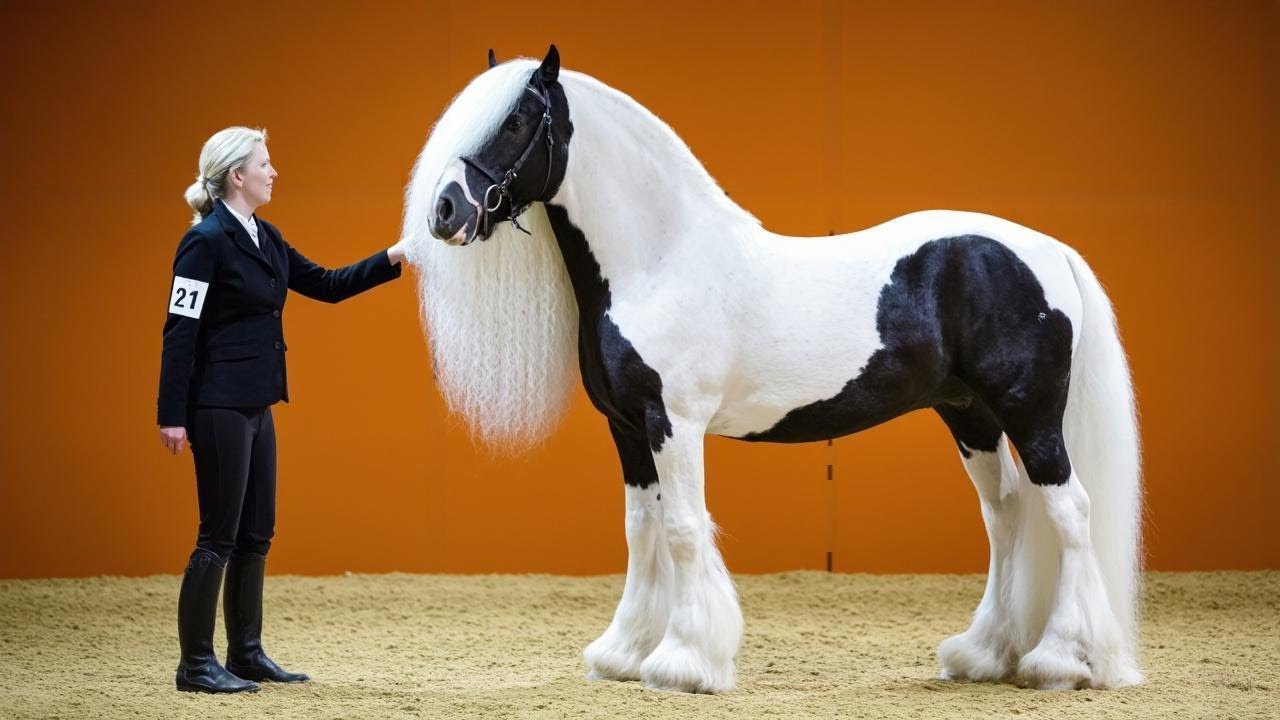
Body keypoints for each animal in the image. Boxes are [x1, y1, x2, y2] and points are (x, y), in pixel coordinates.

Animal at [401, 46, 1143, 694]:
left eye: (517, 121)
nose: (445, 211)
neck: (661, 261)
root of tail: (1047, 249)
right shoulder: (626, 427)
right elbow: (642, 529)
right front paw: (622, 653)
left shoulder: (673, 422)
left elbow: (682, 528)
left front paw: (684, 662)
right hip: (970, 415)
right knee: (1006, 513)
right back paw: (983, 654)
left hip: (1030, 414)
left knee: (1069, 512)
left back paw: (1061, 661)